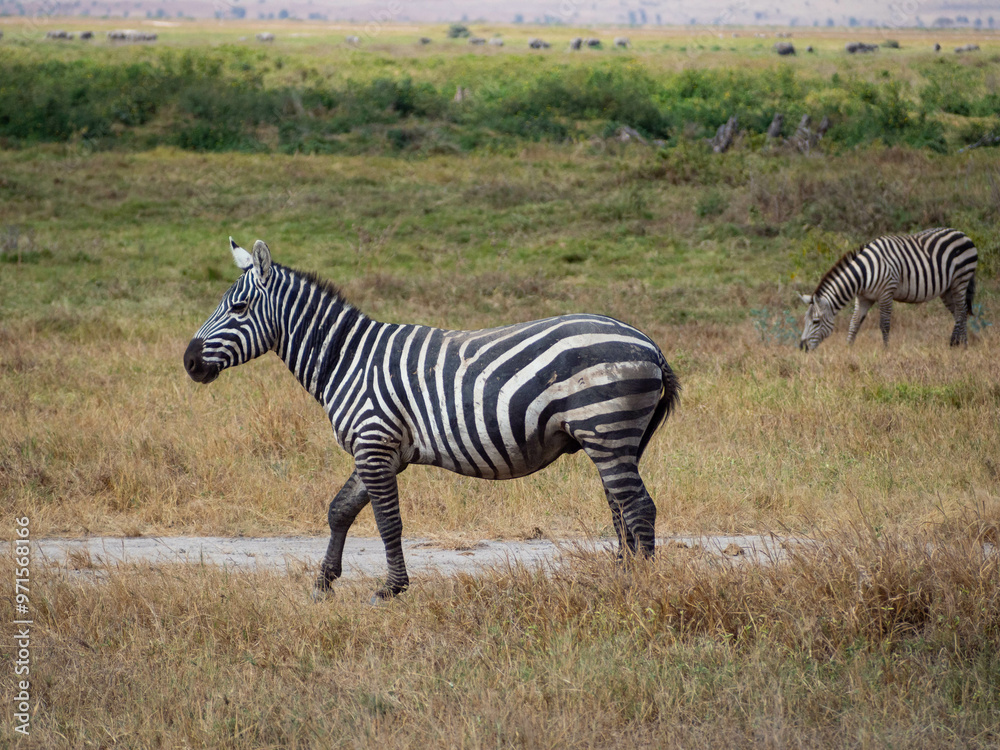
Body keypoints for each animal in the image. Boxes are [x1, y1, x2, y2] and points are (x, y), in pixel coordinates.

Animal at [184, 238, 680, 600]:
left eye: (239, 309)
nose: (189, 362)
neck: (346, 359)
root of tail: (649, 344)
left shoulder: (375, 442)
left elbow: (387, 521)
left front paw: (391, 589)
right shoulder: (377, 447)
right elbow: (340, 510)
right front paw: (323, 584)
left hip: (605, 428)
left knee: (639, 508)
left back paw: (640, 587)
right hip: (614, 441)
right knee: (620, 509)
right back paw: (620, 576)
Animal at [798, 228, 978, 352]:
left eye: (815, 321)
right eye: (805, 320)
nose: (802, 347)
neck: (863, 275)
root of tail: (963, 234)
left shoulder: (886, 292)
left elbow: (884, 324)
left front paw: (885, 350)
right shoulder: (863, 298)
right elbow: (854, 323)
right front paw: (848, 348)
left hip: (960, 280)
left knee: (961, 311)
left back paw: (953, 344)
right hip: (947, 289)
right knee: (959, 313)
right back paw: (964, 345)